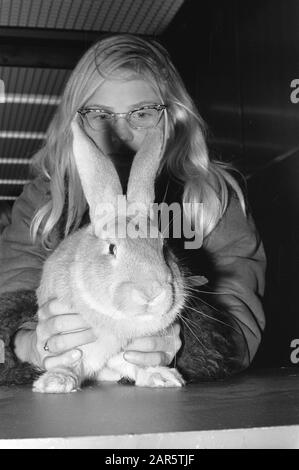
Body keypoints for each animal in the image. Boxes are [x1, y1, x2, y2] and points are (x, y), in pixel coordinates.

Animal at [32, 117, 188, 392]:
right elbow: (70, 363)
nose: (151, 291)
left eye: (164, 247)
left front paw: (163, 376)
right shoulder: (74, 347)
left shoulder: (130, 353)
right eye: (112, 248)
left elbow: (138, 366)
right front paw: (57, 382)